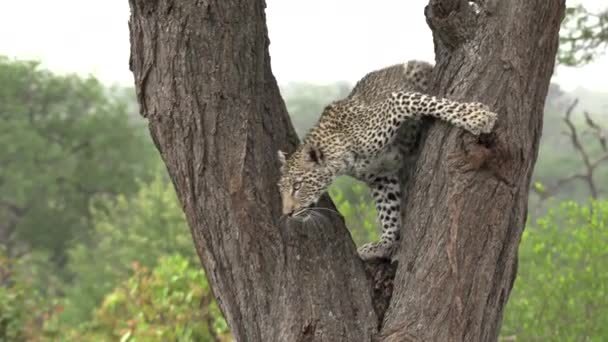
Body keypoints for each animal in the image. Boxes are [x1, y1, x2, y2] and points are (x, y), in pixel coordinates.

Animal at [278, 60, 496, 260]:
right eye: (282, 190)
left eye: (297, 186)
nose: (287, 213)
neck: (340, 154)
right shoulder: (381, 177)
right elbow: (388, 211)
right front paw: (383, 244)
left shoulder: (394, 104)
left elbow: (422, 101)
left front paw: (475, 116)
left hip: (414, 67)